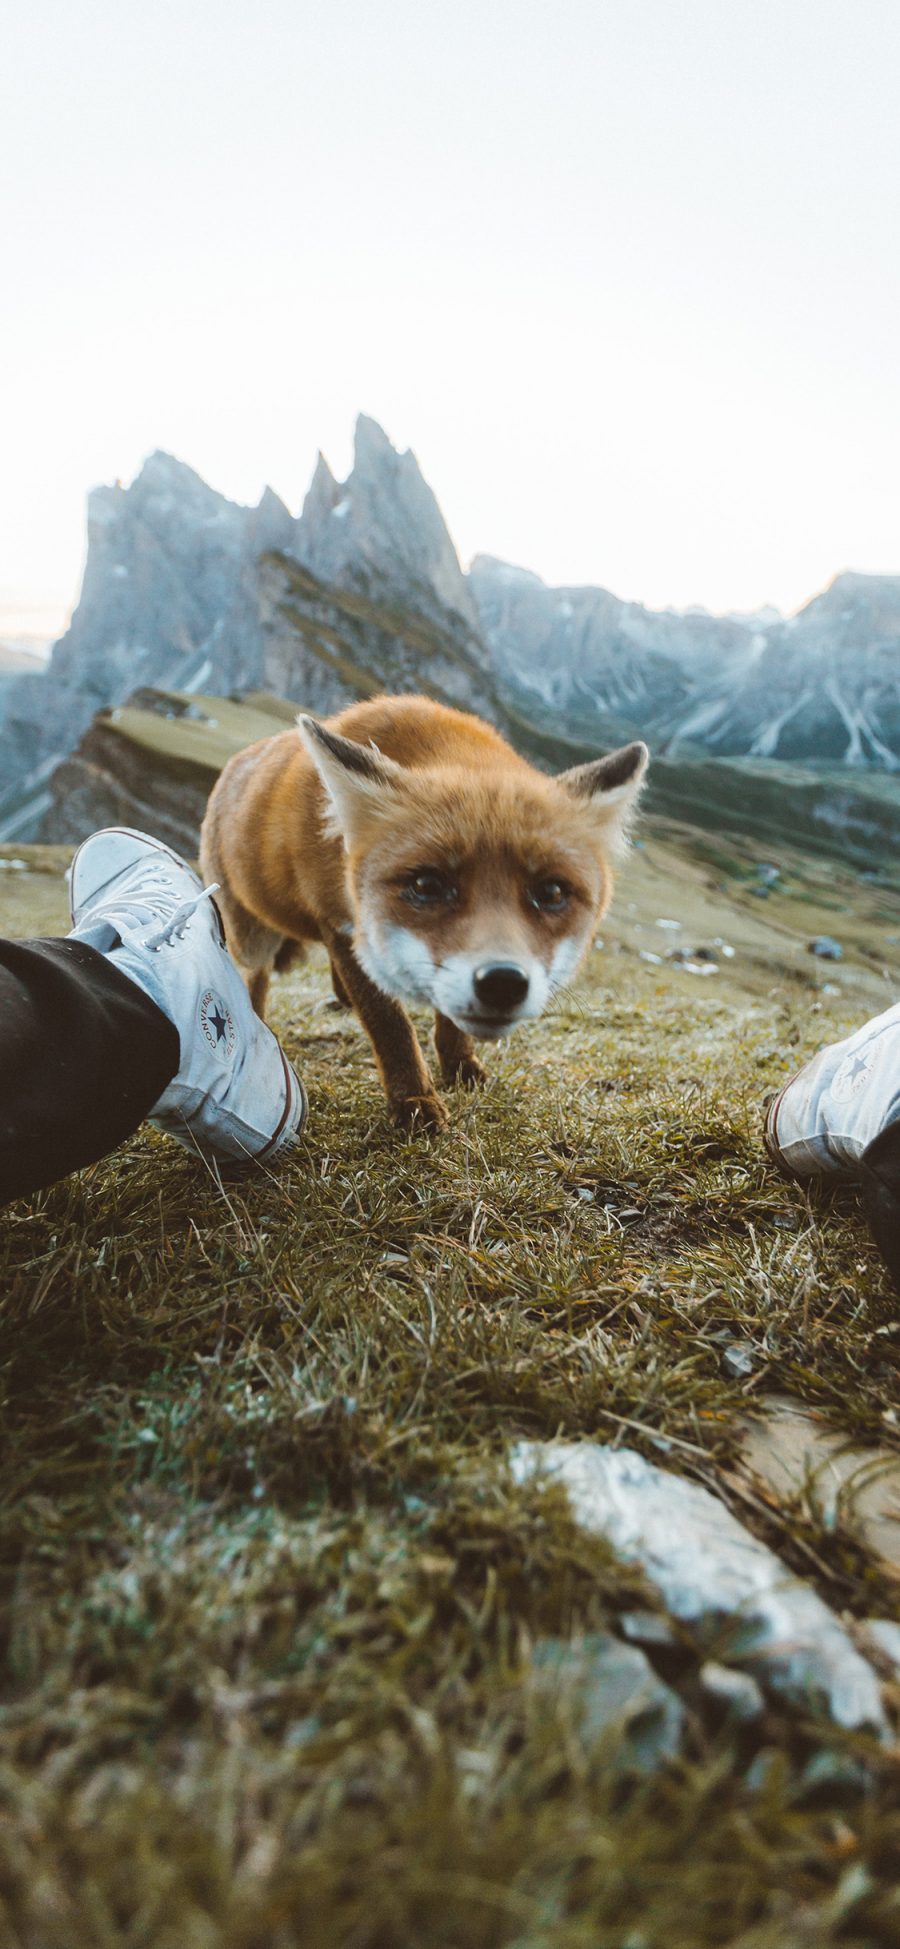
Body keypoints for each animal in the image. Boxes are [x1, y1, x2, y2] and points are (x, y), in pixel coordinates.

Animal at [198, 697, 646, 1130]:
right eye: (427, 886)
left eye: (551, 892)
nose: (503, 983)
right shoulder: (341, 923)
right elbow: (390, 1024)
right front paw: (413, 1101)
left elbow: (446, 1016)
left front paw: (460, 1066)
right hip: (254, 934)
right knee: (256, 972)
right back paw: (257, 1019)